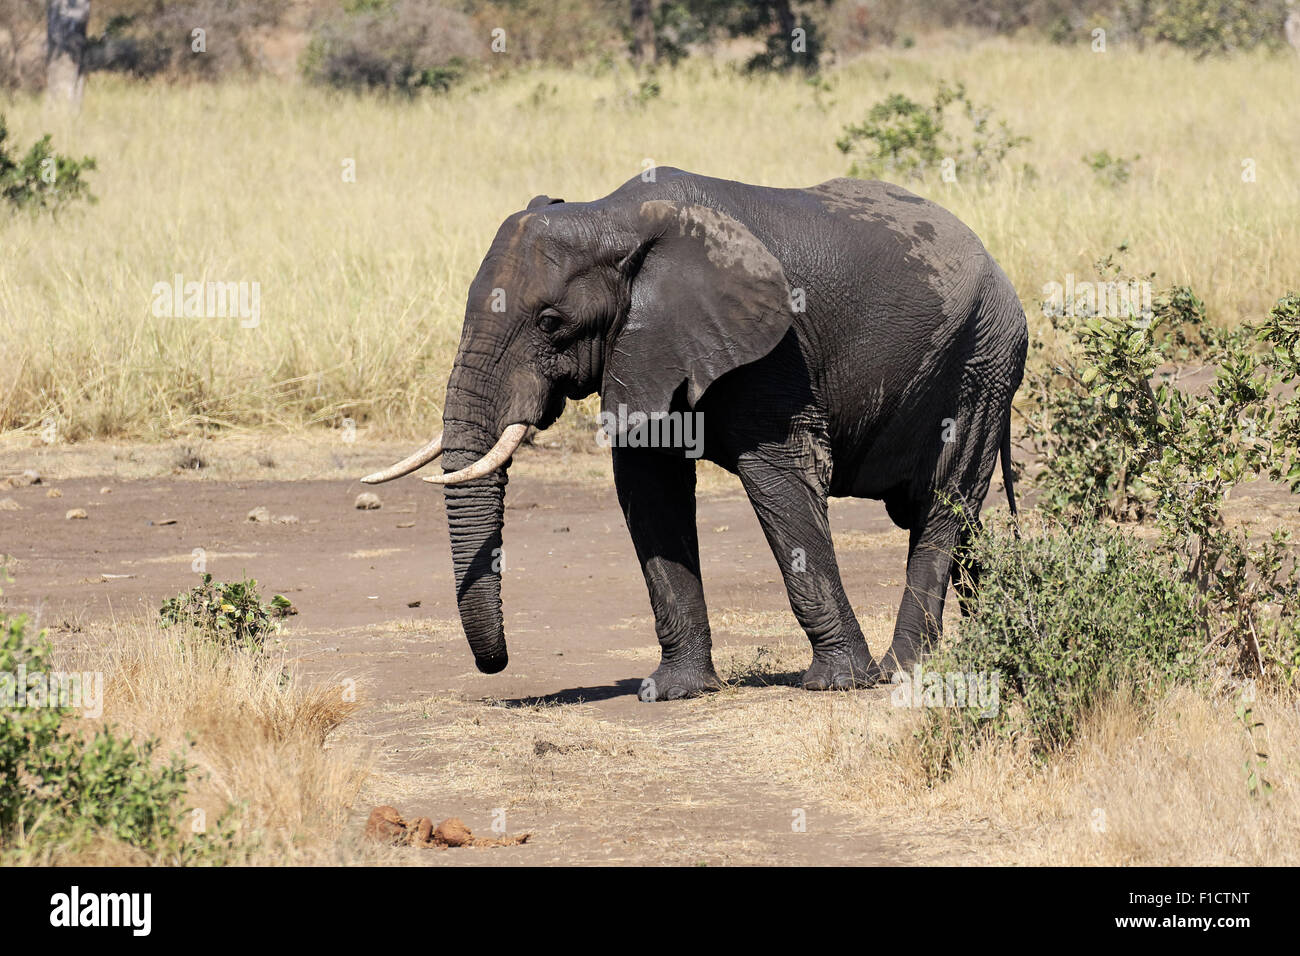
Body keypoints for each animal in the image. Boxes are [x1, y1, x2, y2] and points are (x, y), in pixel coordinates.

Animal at [364, 166, 1024, 702]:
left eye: (550, 323)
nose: (497, 666)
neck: (613, 217)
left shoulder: (770, 355)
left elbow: (783, 481)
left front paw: (838, 683)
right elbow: (649, 489)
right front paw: (675, 691)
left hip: (981, 365)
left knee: (942, 505)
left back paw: (903, 672)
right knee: (951, 517)